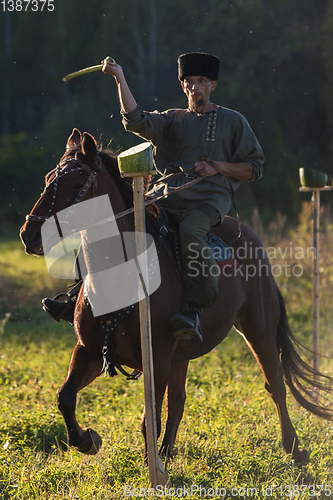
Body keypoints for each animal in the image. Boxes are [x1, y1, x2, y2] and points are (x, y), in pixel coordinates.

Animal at [19, 129, 330, 464]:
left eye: (77, 184)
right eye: (49, 178)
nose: (30, 234)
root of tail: (249, 236)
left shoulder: (157, 357)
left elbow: (149, 419)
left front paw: (149, 465)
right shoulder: (89, 351)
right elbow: (65, 397)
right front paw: (88, 440)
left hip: (258, 328)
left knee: (275, 384)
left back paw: (295, 449)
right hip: (182, 354)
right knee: (179, 400)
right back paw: (167, 452)